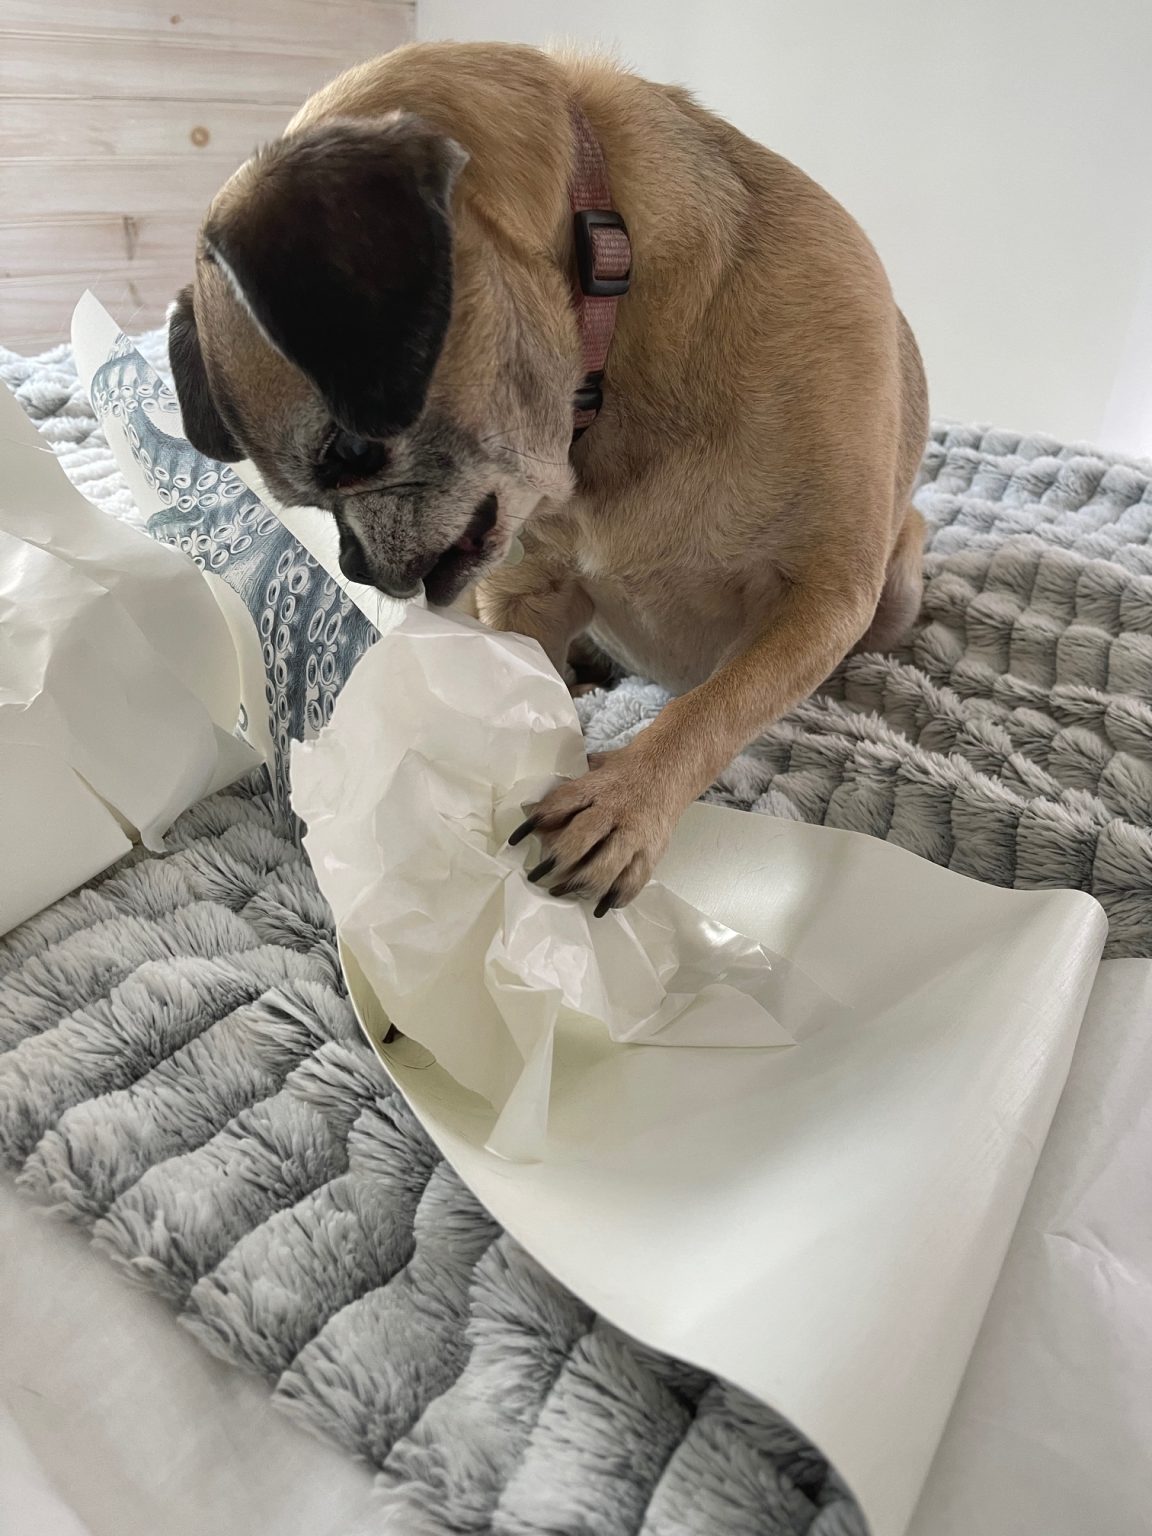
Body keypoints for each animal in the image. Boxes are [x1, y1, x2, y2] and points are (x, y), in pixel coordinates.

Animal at [169, 40, 928, 914]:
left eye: (351, 450)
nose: (355, 565)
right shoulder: (525, 593)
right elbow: (542, 688)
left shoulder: (823, 600)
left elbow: (716, 706)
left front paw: (625, 803)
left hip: (898, 587)